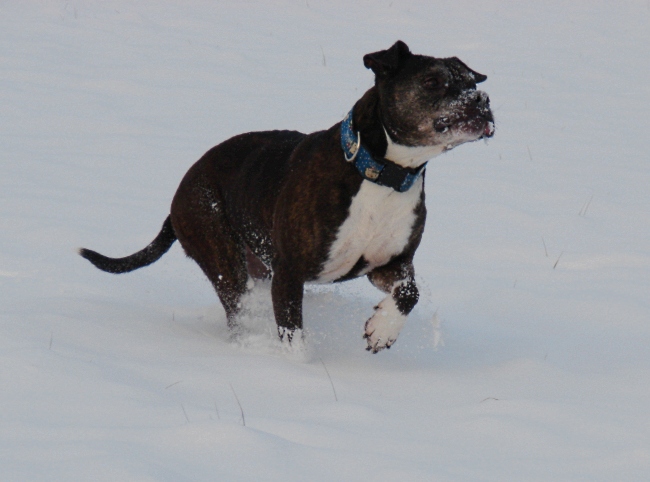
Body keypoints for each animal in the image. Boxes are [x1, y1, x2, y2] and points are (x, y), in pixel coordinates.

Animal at [82, 39, 496, 352]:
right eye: (432, 81)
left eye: (470, 82)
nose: (482, 100)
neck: (381, 173)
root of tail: (178, 195)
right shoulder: (290, 273)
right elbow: (292, 333)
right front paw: (299, 371)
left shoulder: (390, 264)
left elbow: (409, 293)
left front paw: (383, 329)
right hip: (222, 255)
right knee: (238, 307)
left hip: (258, 267)